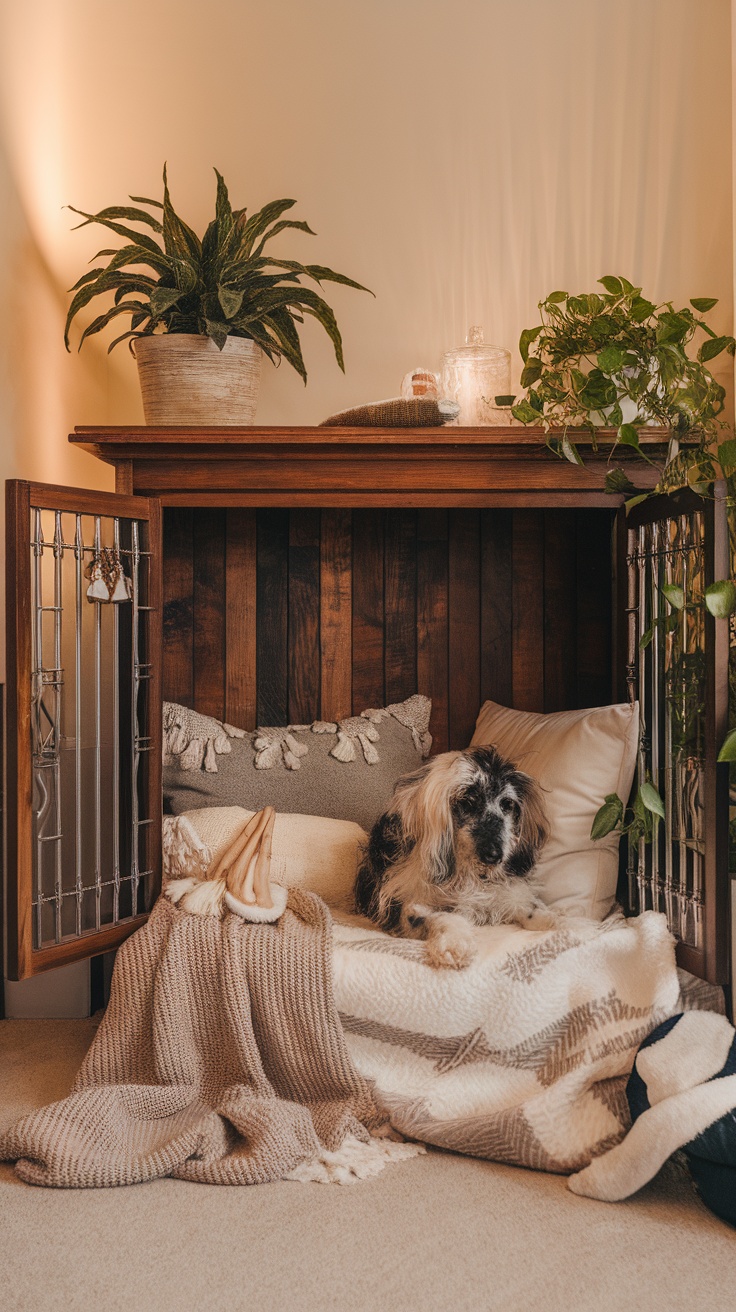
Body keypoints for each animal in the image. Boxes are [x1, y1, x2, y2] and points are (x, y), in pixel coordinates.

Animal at [354, 745, 553, 970]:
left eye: (507, 804)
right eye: (467, 802)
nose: (494, 855)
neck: (465, 873)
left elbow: (517, 900)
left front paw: (544, 917)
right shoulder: (407, 906)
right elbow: (443, 916)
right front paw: (455, 944)